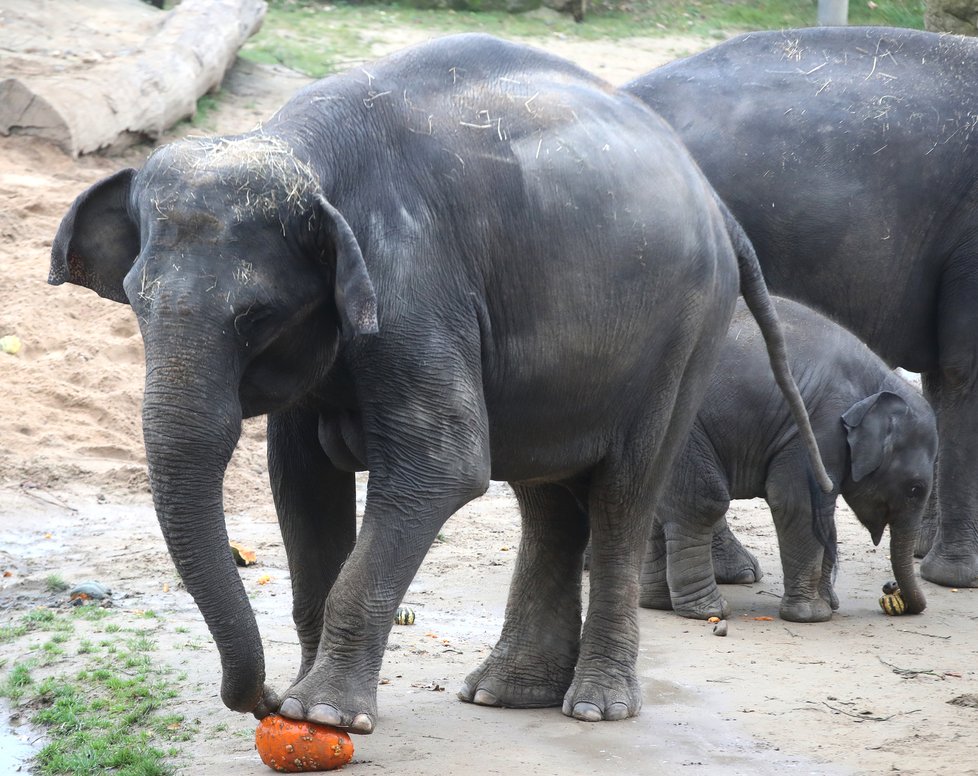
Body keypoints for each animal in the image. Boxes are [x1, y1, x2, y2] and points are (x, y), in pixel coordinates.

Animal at [45, 31, 824, 732]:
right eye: (134, 299)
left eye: (256, 315)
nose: (259, 699)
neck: (302, 148)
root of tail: (717, 205)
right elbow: (300, 481)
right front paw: (303, 699)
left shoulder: (416, 281)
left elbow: (441, 465)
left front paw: (322, 714)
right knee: (548, 499)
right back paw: (506, 694)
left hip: (685, 336)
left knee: (622, 495)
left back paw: (595, 708)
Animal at [640, 294, 936, 620]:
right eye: (915, 489)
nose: (891, 587)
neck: (877, 383)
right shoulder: (816, 429)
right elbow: (799, 504)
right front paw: (813, 615)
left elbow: (823, 514)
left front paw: (828, 604)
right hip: (685, 427)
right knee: (703, 502)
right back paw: (708, 610)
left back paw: (658, 604)